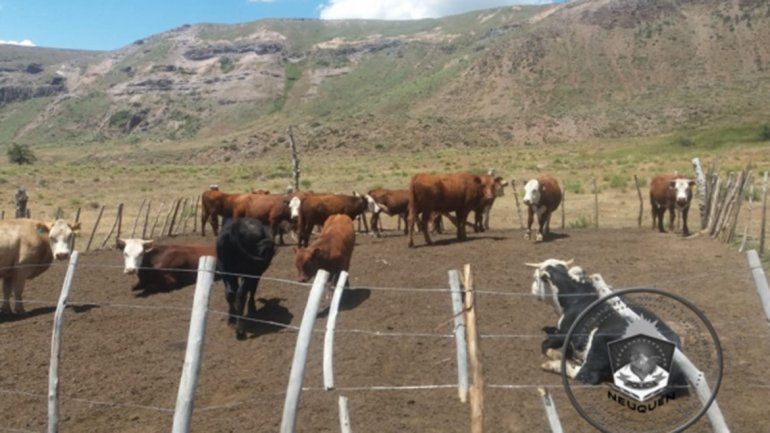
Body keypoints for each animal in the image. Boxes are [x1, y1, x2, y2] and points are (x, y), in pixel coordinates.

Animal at [527, 258, 688, 394]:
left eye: (535, 278)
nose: (532, 289)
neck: (576, 296)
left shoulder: (564, 332)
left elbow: (545, 345)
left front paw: (558, 355)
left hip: (599, 339)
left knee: (586, 374)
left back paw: (553, 365)